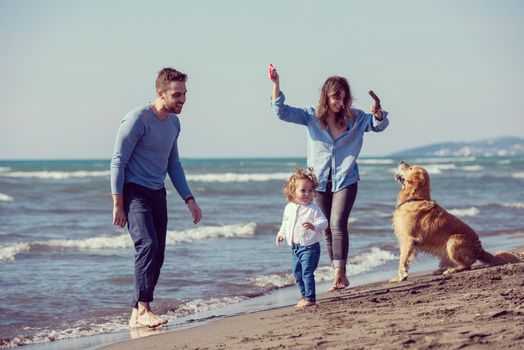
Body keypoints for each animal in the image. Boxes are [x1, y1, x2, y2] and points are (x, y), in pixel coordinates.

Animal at [388, 161, 520, 282]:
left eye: (410, 168)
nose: (401, 161)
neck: (414, 198)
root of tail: (480, 249)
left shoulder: (408, 239)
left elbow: (402, 260)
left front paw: (400, 277)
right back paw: (441, 270)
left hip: (453, 241)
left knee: (467, 266)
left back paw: (452, 270)